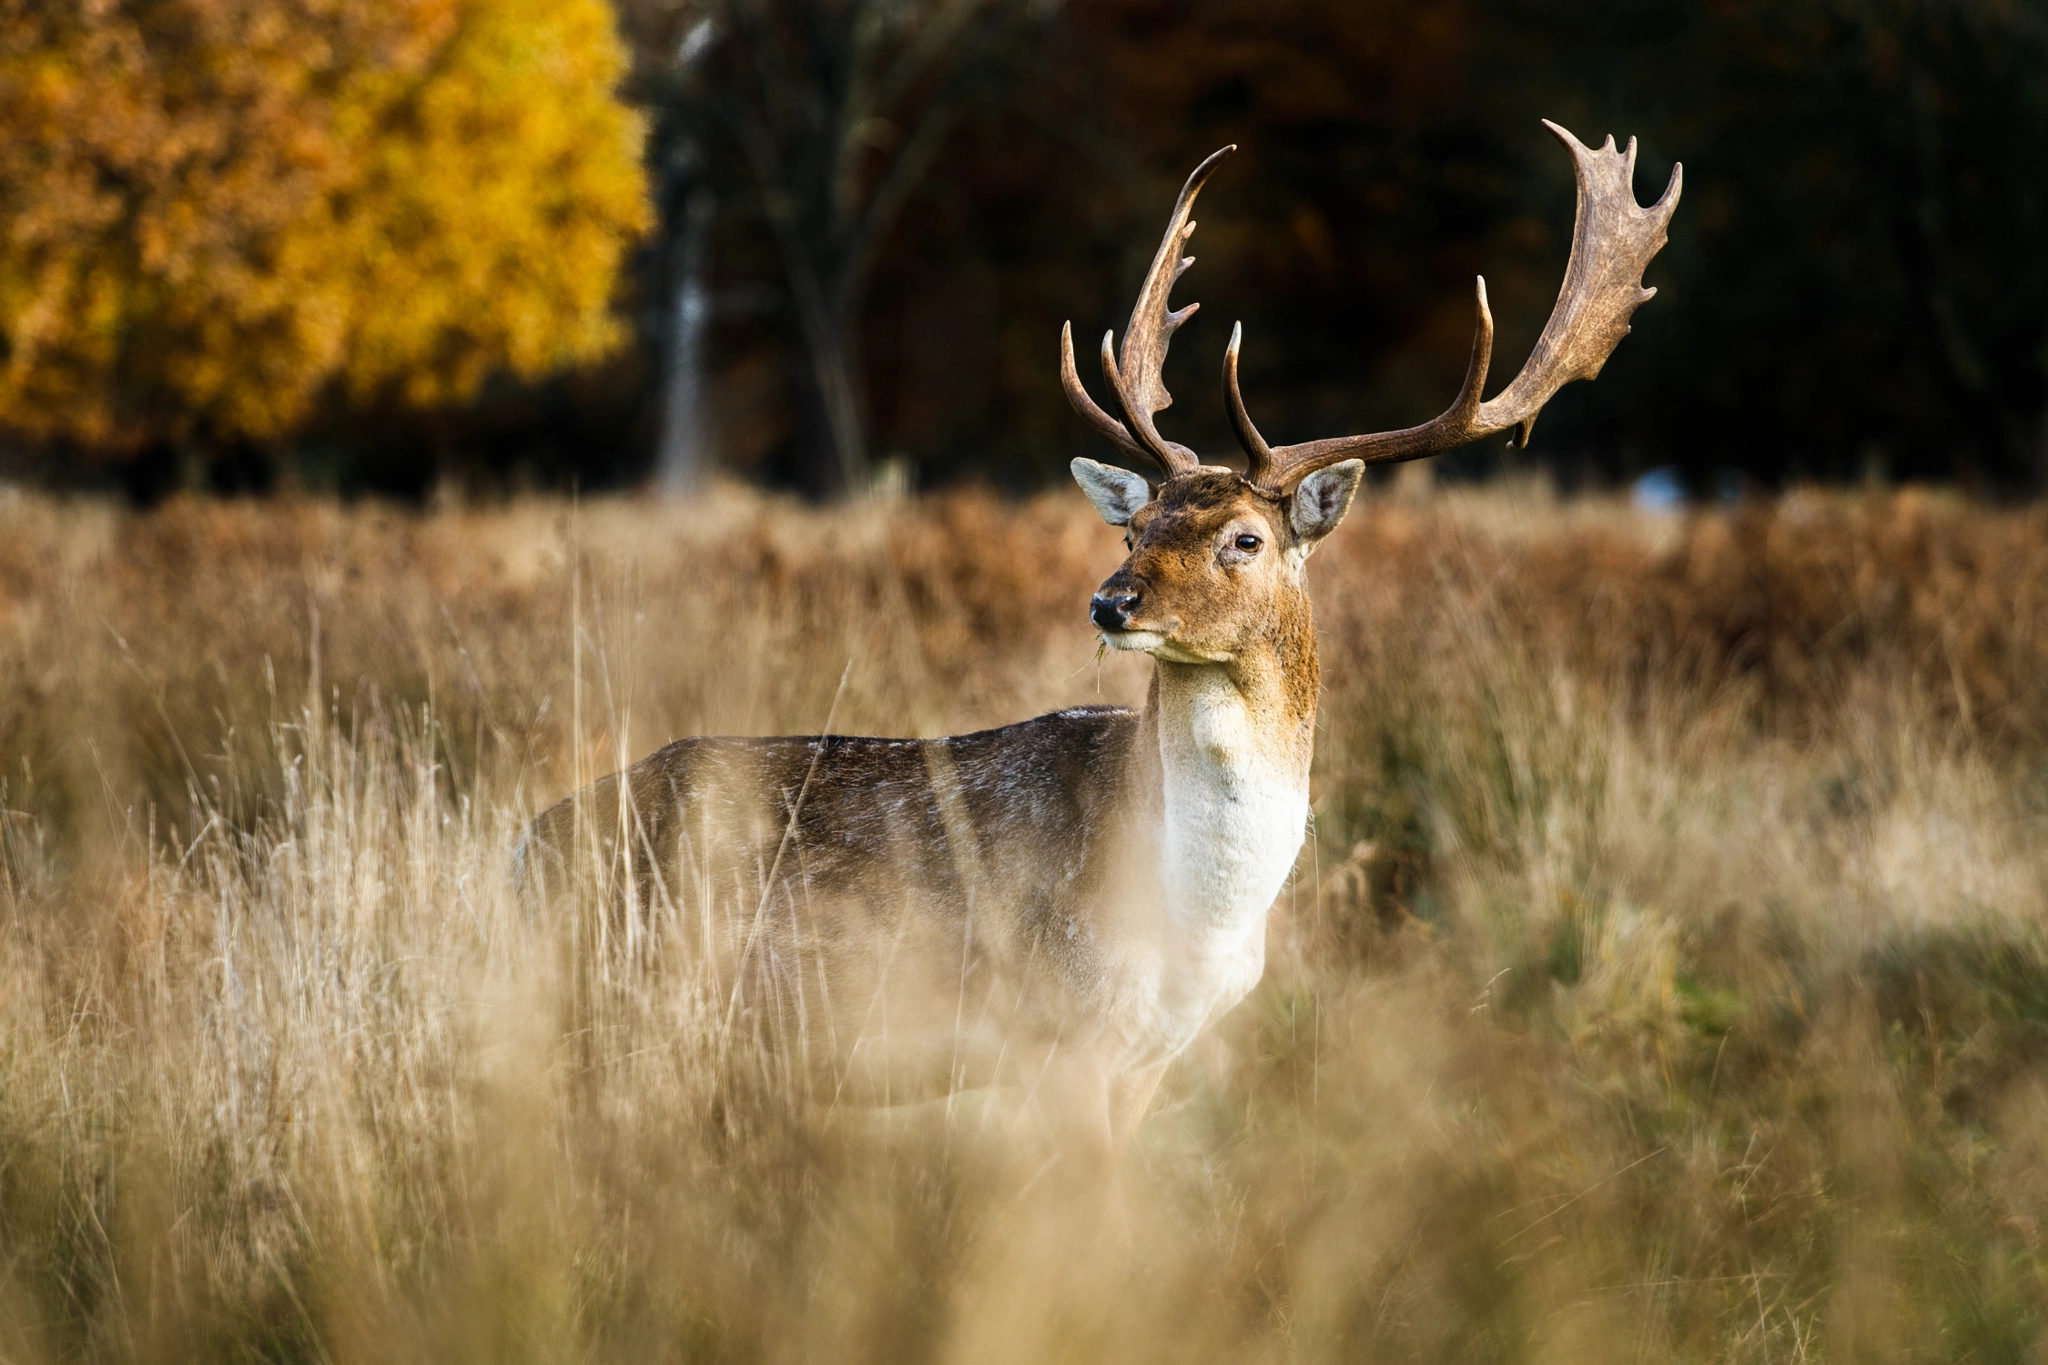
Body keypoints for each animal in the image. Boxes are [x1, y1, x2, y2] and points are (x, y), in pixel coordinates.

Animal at [516, 120, 1679, 1154]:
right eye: (1135, 526)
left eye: (1245, 538)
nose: (1109, 605)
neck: (1187, 921)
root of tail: (521, 843)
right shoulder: (1055, 1029)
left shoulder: (1149, 1059)